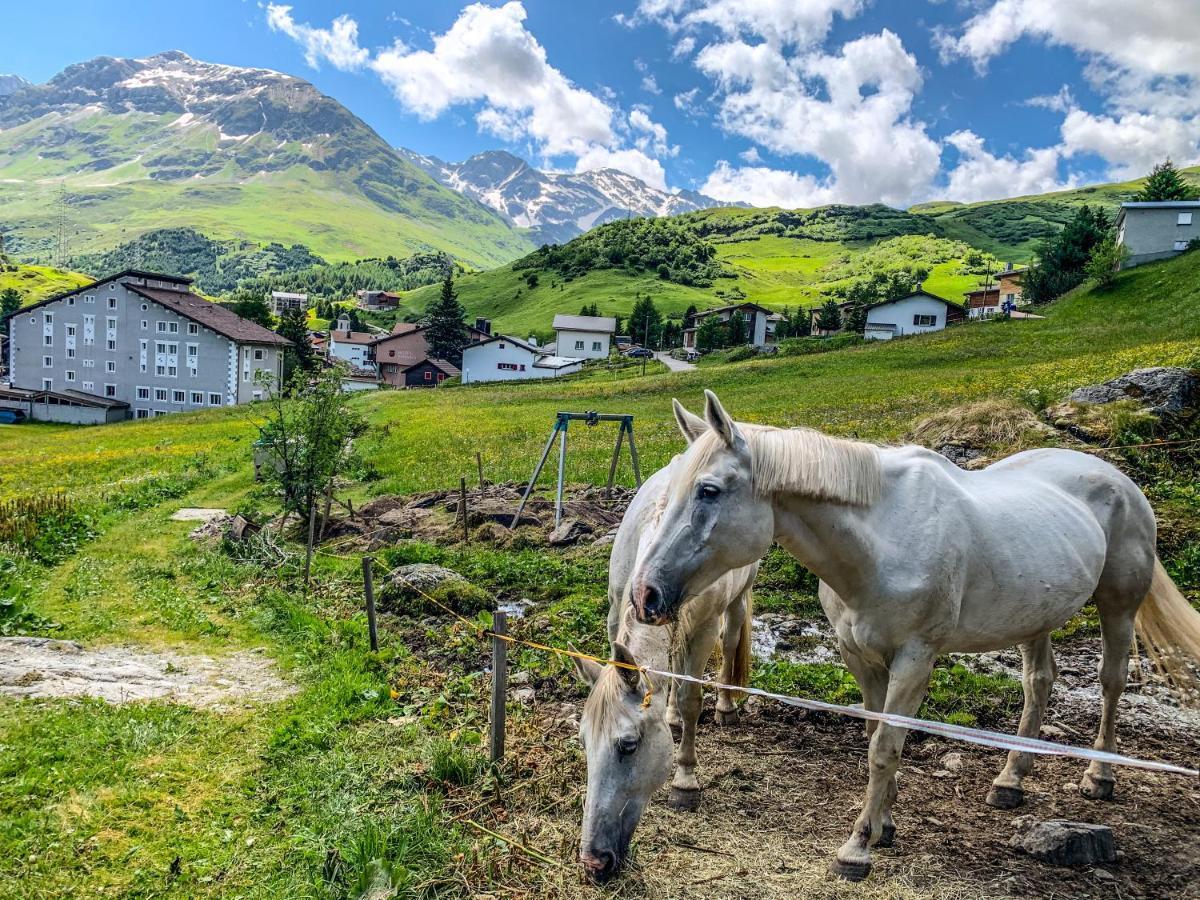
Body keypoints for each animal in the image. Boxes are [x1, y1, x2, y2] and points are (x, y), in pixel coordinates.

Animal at [573, 460, 758, 883]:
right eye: (583, 741)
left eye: (628, 745)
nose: (594, 862)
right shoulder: (616, 613)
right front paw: (671, 718)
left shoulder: (702, 628)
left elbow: (692, 697)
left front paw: (685, 780)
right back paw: (671, 716)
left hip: (736, 599)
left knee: (730, 638)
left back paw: (725, 706)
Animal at [633, 388, 1195, 883]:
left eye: (708, 490)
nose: (645, 594)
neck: (881, 542)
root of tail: (1117, 477)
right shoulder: (859, 654)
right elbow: (875, 735)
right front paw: (883, 824)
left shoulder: (915, 659)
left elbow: (885, 746)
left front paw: (857, 848)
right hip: (1035, 617)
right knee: (1039, 683)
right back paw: (1010, 780)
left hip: (1118, 605)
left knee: (1111, 681)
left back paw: (1099, 775)